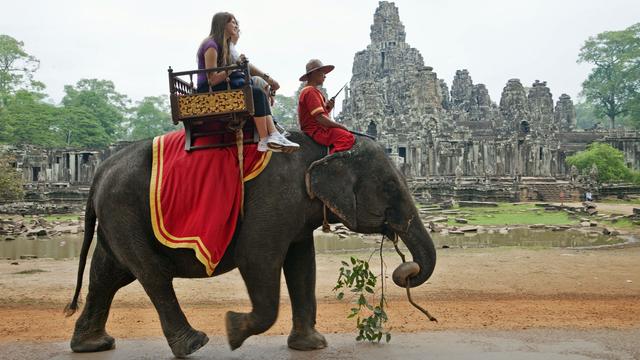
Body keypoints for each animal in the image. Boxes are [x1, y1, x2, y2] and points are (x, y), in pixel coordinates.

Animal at [66, 131, 436, 358]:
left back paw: (93, 345)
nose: (406, 270)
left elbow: (303, 265)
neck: (324, 143)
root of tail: (99, 172)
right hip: (124, 211)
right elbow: (258, 258)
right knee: (152, 275)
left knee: (107, 275)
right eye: (390, 188)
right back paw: (195, 343)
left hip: (117, 219)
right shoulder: (273, 200)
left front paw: (312, 345)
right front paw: (233, 330)